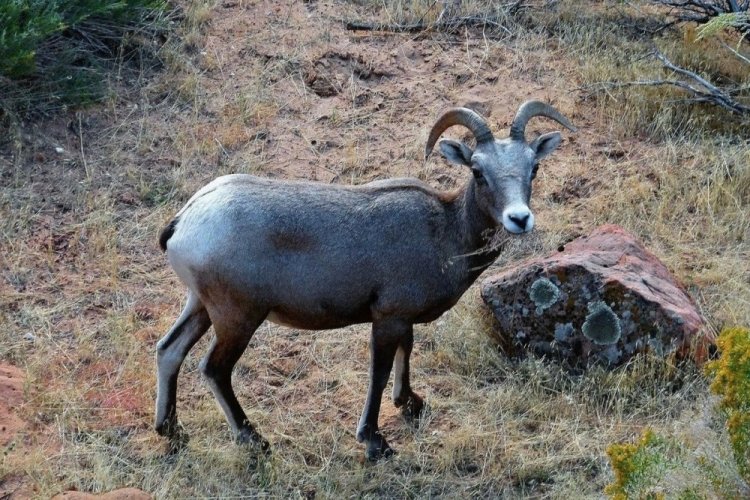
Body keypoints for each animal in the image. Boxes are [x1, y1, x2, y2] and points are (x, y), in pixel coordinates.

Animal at [153, 100, 576, 460]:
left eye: (533, 168)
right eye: (477, 170)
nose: (518, 218)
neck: (445, 232)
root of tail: (184, 221)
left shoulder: (401, 320)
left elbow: (406, 353)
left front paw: (410, 403)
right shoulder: (386, 320)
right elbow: (379, 373)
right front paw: (375, 442)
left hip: (201, 308)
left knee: (168, 350)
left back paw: (171, 430)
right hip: (237, 318)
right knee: (214, 369)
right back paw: (253, 439)